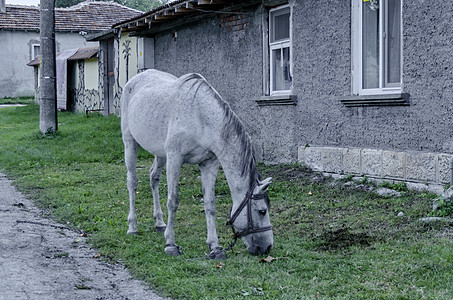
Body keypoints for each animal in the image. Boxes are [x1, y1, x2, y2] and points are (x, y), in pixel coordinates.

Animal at [120, 70, 272, 258]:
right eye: (262, 211)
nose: (267, 247)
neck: (200, 116)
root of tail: (135, 79)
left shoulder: (209, 163)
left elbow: (209, 203)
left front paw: (215, 246)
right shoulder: (175, 158)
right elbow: (173, 200)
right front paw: (170, 244)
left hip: (160, 153)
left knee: (153, 178)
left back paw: (159, 222)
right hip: (130, 143)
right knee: (132, 182)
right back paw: (133, 227)